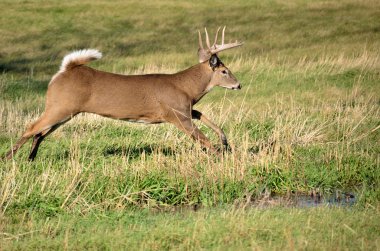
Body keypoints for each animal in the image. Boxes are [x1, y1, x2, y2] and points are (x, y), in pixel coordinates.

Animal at [4, 26, 243, 160]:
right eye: (224, 71)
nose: (238, 85)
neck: (186, 87)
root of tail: (64, 70)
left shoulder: (184, 109)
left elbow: (206, 118)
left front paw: (225, 142)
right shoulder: (176, 114)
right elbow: (203, 139)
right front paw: (222, 158)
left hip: (65, 110)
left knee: (40, 132)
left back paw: (31, 158)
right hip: (60, 106)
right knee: (31, 127)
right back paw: (8, 159)